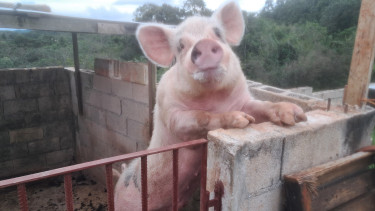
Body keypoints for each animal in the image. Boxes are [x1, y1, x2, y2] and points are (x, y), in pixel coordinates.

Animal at [115, 1, 308, 209]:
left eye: (218, 33)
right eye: (180, 46)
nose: (204, 44)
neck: (214, 97)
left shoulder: (244, 101)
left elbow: (260, 107)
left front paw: (296, 115)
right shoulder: (171, 114)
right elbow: (199, 116)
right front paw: (240, 120)